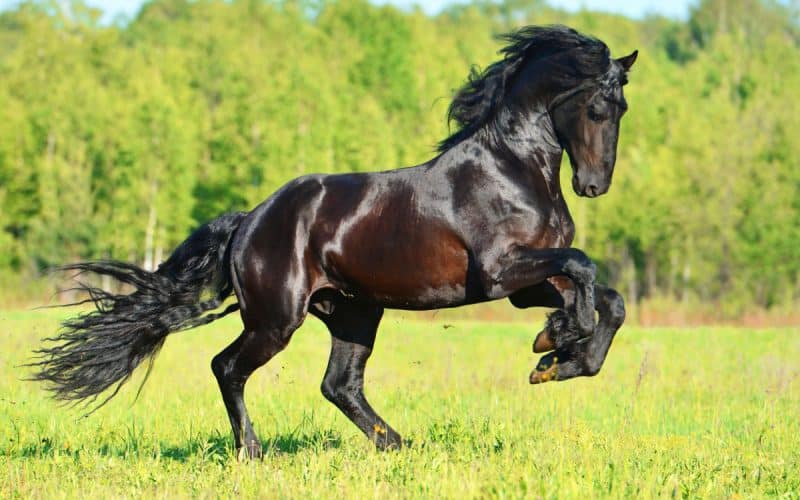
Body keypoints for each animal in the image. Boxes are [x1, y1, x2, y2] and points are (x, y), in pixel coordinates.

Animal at [31, 25, 636, 458]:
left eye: (622, 109)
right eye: (596, 108)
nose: (593, 185)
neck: (512, 168)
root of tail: (249, 221)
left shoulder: (527, 283)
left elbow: (609, 300)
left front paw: (558, 355)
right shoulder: (498, 273)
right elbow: (584, 268)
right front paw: (558, 339)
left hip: (353, 313)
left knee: (338, 384)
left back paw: (395, 444)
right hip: (276, 320)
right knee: (228, 367)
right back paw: (252, 452)